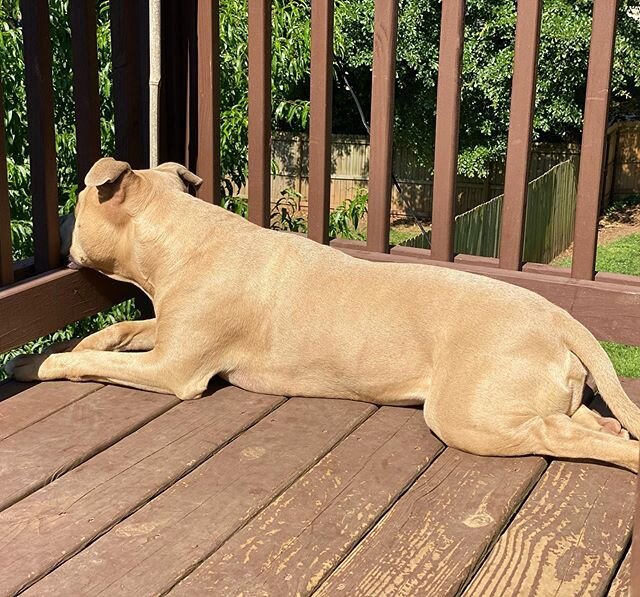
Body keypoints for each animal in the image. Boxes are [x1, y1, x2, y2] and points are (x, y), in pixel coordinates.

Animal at [8, 157, 640, 470]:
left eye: (75, 205)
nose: (57, 228)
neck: (183, 240)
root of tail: (558, 316)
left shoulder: (173, 370)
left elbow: (85, 365)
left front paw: (38, 365)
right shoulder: (168, 332)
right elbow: (118, 330)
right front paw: (67, 345)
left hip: (467, 414)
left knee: (559, 435)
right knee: (579, 422)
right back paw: (609, 427)